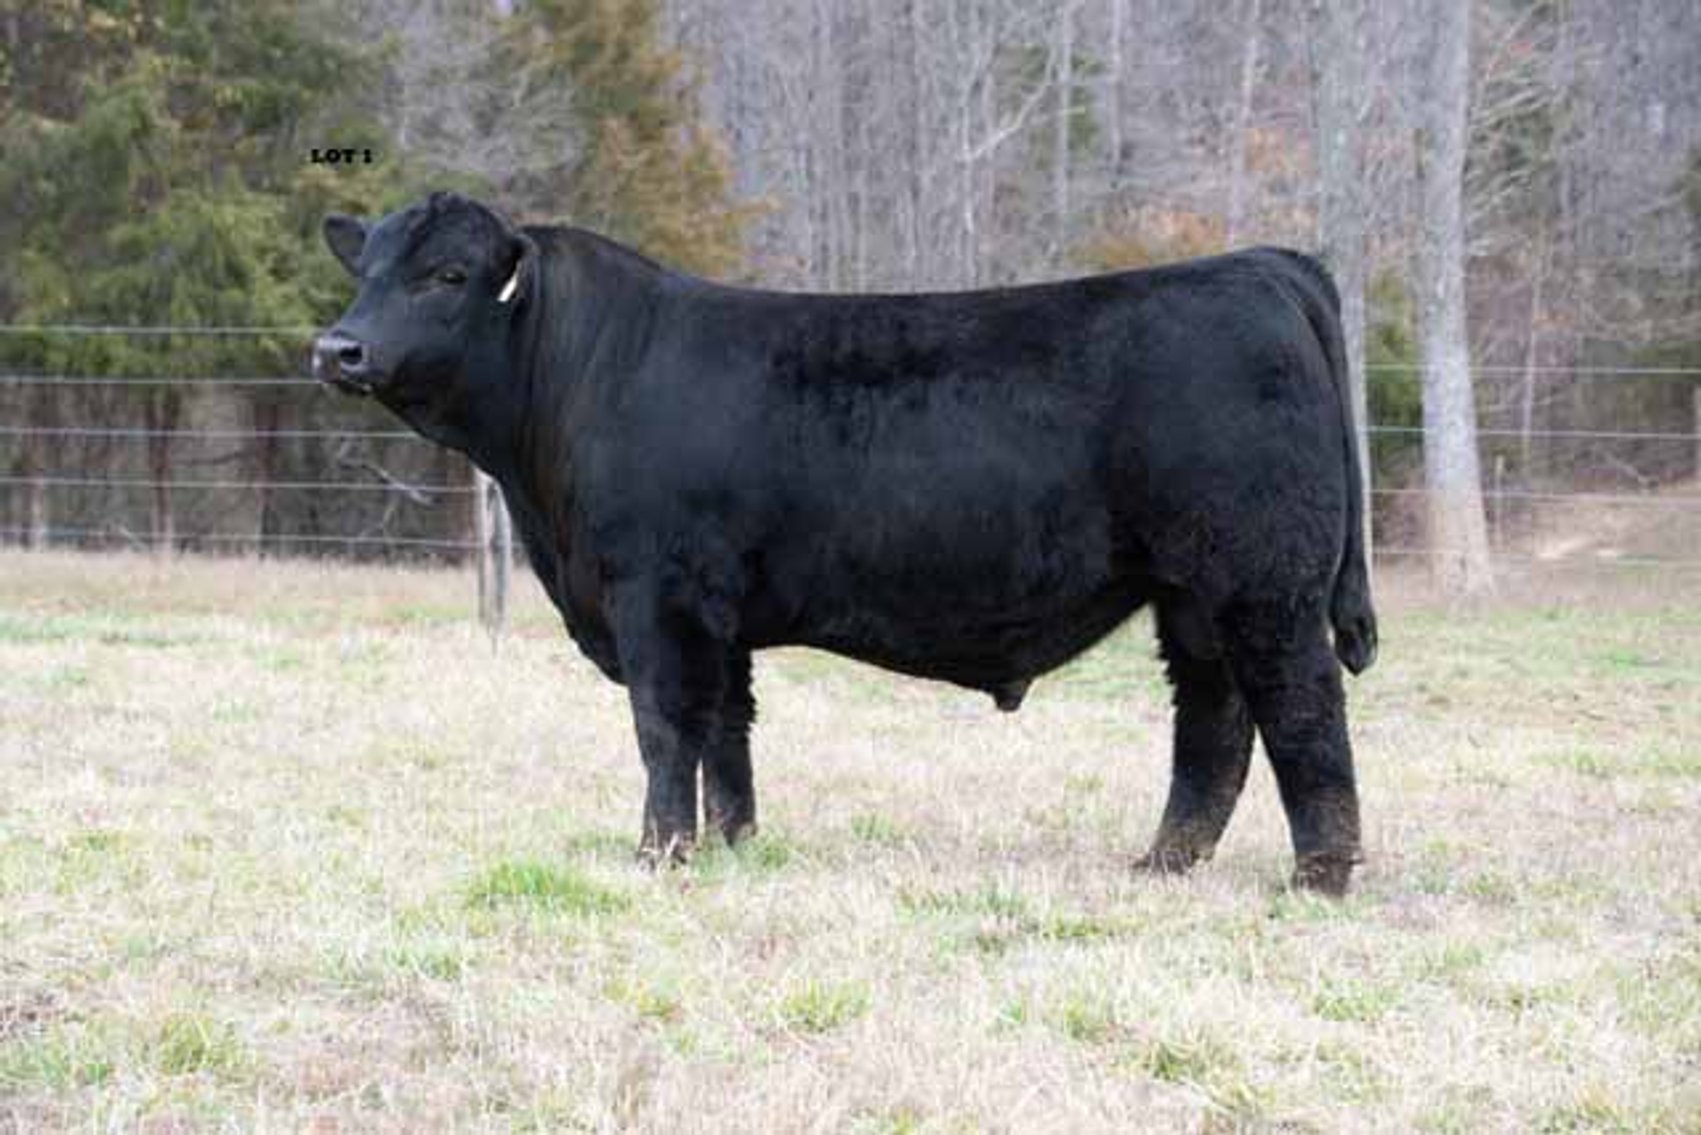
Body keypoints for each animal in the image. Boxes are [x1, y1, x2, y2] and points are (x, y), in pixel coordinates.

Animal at [312, 191, 1378, 894]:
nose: (337, 348)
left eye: (448, 275)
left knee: (1300, 709)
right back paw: (1161, 863)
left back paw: (1318, 876)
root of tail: (1257, 264)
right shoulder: (719, 616)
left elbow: (664, 725)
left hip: (1262, 582)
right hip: (1189, 594)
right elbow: (726, 731)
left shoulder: (656, 597)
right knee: (1213, 722)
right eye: (363, 271)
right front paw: (733, 844)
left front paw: (658, 855)